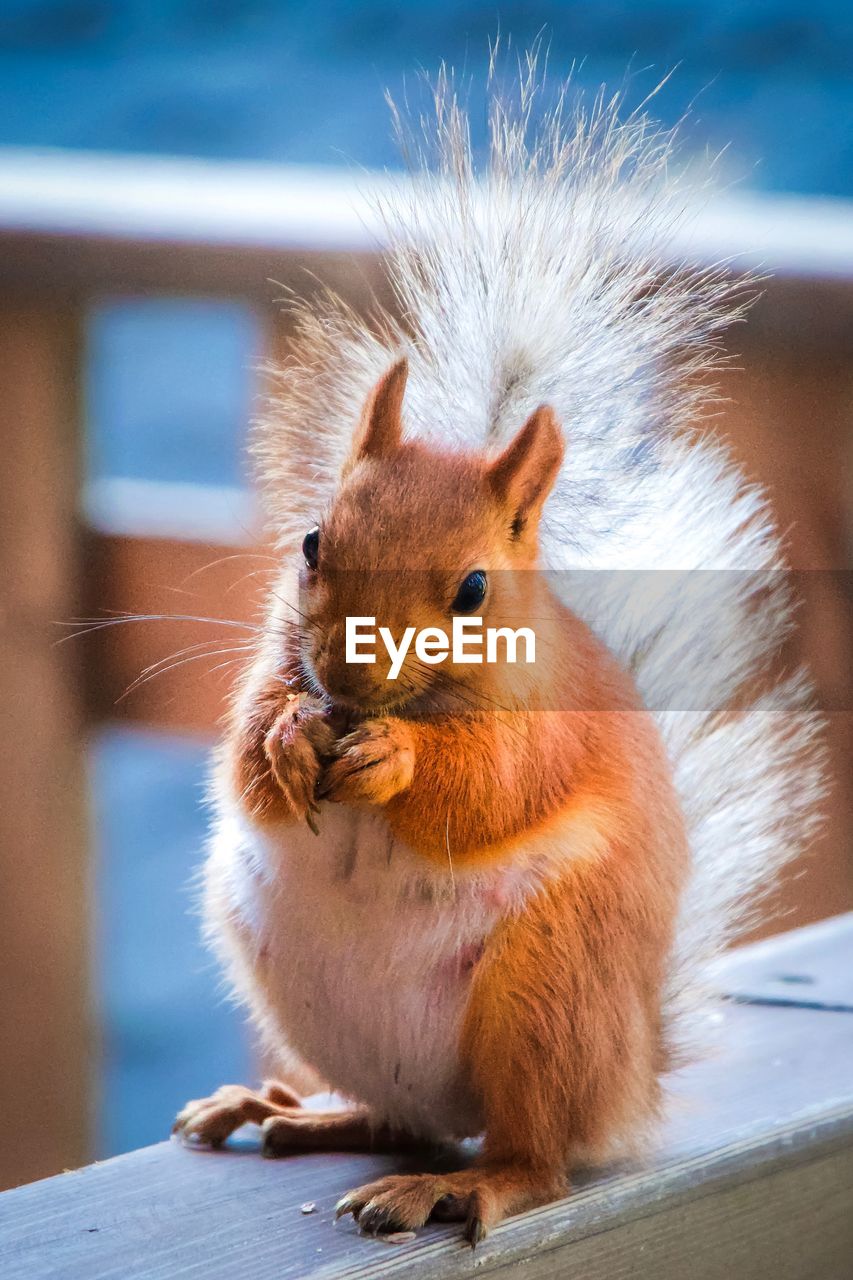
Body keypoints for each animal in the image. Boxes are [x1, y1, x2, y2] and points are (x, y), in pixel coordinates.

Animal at [171, 77, 819, 1239]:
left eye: (473, 590)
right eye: (310, 541)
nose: (345, 684)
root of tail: (627, 1086)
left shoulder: (551, 718)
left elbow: (493, 786)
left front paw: (396, 761)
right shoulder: (272, 659)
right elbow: (242, 753)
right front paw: (289, 740)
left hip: (543, 992)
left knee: (531, 1159)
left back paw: (461, 1182)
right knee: (406, 1116)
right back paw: (297, 1110)